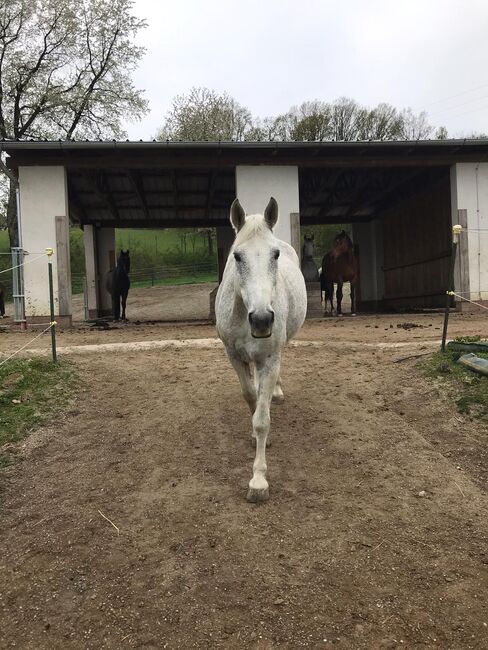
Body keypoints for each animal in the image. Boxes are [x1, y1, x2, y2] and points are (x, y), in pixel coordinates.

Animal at [216, 196, 306, 502]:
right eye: (237, 256)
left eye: (275, 255)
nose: (262, 320)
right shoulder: (233, 356)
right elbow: (249, 396)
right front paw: (256, 438)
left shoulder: (268, 359)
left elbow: (262, 420)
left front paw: (258, 481)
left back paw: (276, 392)